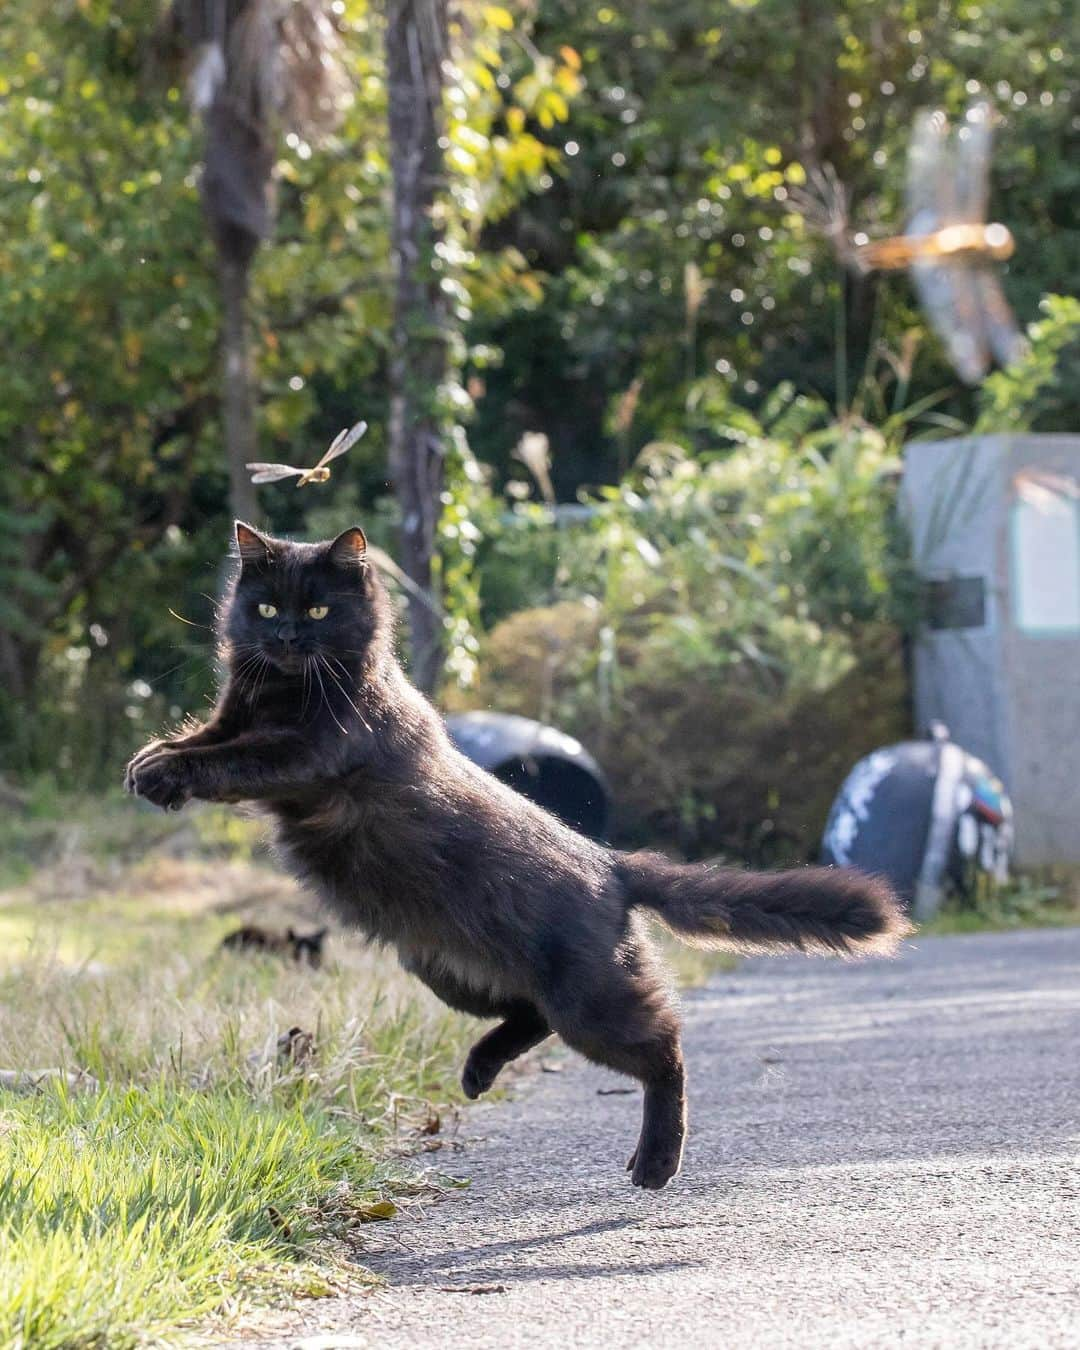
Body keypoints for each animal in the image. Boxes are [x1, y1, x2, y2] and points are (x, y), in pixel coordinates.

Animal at [122, 521, 907, 1188]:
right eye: (263, 607)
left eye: (316, 611)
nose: (285, 636)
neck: (283, 690)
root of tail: (612, 864)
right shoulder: (236, 713)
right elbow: (206, 737)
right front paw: (152, 758)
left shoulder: (311, 752)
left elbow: (234, 760)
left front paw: (166, 773)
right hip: (447, 970)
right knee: (533, 1015)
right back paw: (478, 1071)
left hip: (589, 998)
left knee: (665, 1047)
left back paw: (656, 1161)